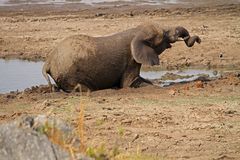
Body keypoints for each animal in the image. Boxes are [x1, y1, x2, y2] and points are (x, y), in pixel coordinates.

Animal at [41, 23, 201, 92]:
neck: (136, 32)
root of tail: (47, 62)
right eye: (163, 35)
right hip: (68, 73)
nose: (198, 39)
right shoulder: (130, 60)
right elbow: (129, 83)